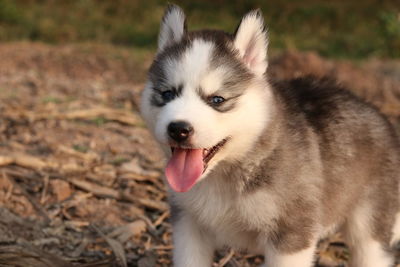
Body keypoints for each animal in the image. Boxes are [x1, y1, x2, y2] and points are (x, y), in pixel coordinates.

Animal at [140, 4, 400, 267]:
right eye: (167, 94)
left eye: (217, 100)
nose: (178, 129)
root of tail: (377, 112)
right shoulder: (188, 226)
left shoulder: (291, 234)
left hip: (368, 227)